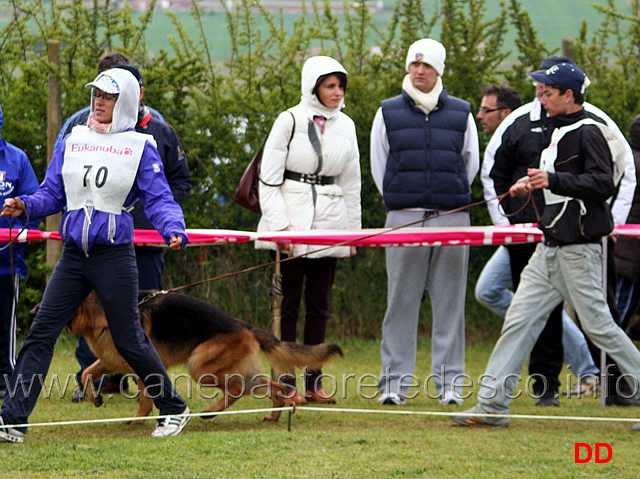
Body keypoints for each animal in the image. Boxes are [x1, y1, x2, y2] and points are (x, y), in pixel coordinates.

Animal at [67, 292, 342, 424]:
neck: (99, 312)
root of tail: (246, 326)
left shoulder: (143, 367)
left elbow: (145, 400)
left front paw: (136, 421)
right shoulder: (109, 362)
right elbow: (86, 373)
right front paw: (95, 398)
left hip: (200, 367)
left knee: (237, 389)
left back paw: (211, 411)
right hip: (243, 373)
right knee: (275, 387)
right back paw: (274, 416)